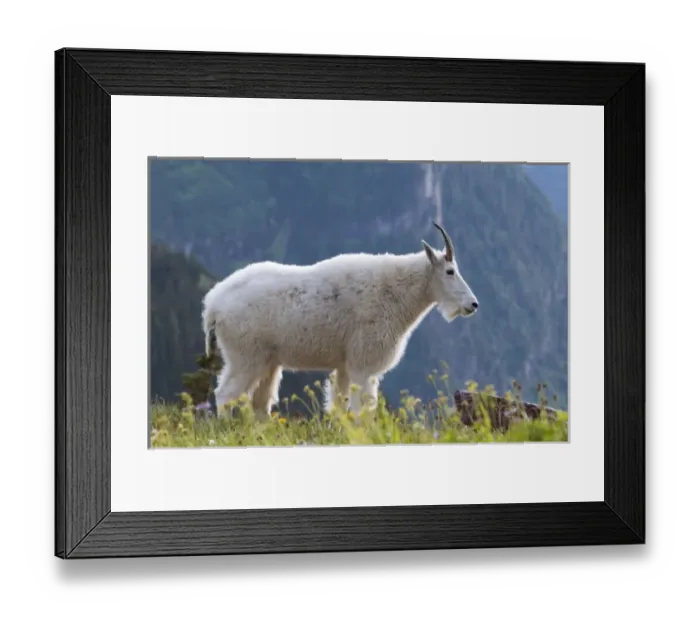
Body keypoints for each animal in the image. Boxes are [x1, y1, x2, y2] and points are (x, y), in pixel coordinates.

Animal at [201, 222, 479, 420]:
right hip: (246, 356)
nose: (473, 304)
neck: (397, 292)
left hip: (267, 361)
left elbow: (340, 406)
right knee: (225, 395)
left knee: (259, 403)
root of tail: (213, 306)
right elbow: (362, 410)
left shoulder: (345, 365)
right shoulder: (363, 364)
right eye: (450, 271)